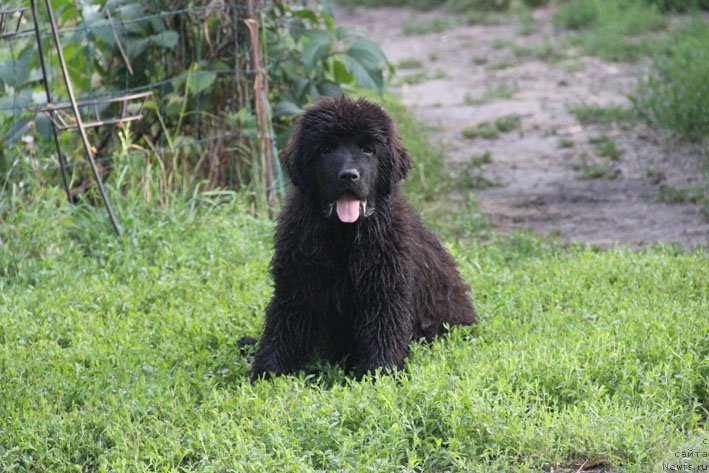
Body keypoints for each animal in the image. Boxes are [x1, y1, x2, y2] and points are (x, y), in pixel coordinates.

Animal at [250, 96, 476, 380]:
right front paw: (267, 373)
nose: (349, 175)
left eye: (368, 150)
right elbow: (282, 327)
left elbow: (384, 331)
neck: (343, 236)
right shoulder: (296, 283)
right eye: (326, 149)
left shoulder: (385, 290)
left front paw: (381, 375)